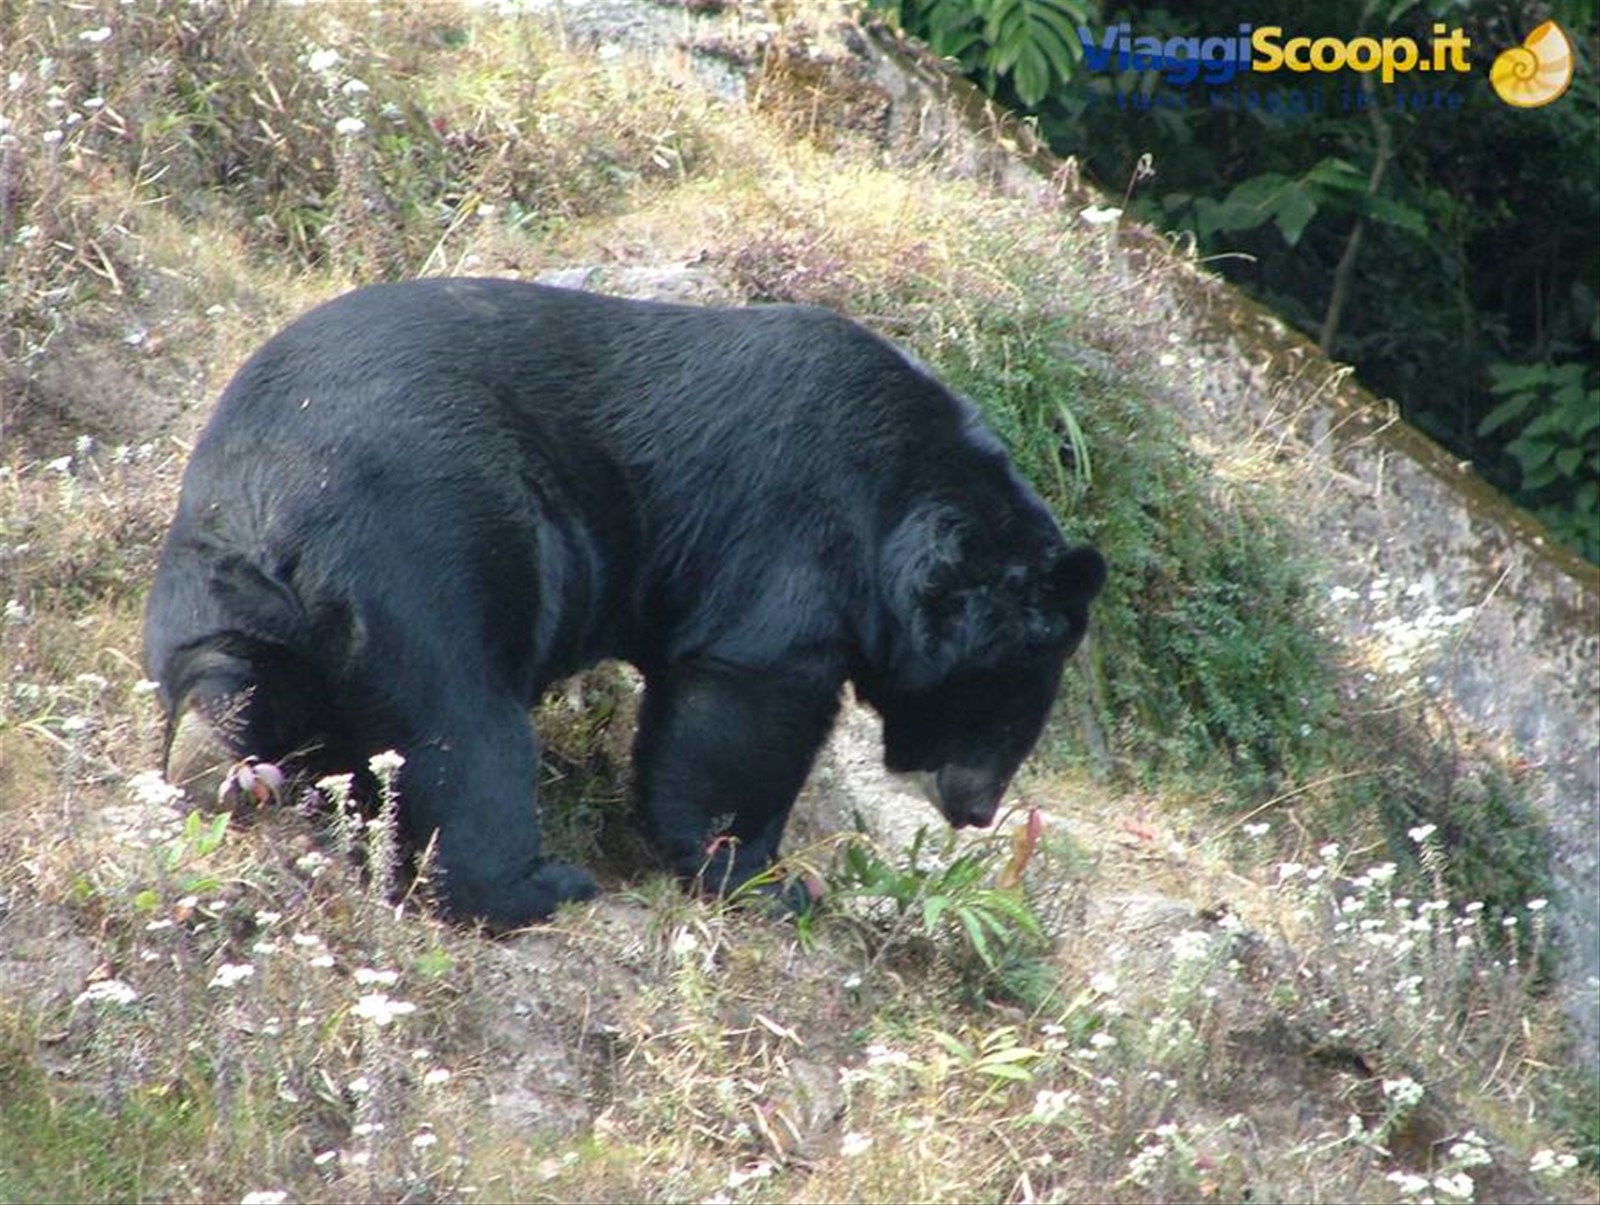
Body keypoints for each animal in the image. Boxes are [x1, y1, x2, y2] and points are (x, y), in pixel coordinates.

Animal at [143, 278, 1106, 930]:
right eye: (1004, 704)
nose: (977, 805)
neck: (906, 495)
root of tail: (281, 499)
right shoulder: (796, 527)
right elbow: (749, 705)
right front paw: (763, 877)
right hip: (432, 542)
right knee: (465, 728)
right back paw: (538, 884)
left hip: (212, 568)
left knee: (229, 668)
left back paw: (215, 761)